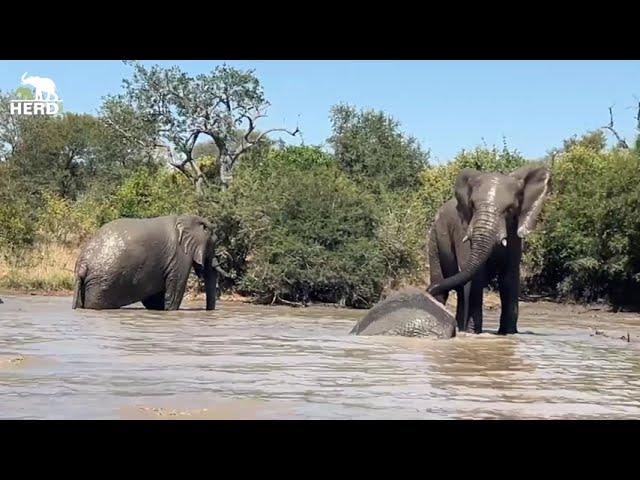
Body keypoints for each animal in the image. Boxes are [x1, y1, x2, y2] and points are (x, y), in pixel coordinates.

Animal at [72, 214, 226, 312]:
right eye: (214, 244)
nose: (208, 311)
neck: (187, 218)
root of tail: (83, 264)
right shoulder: (179, 256)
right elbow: (174, 292)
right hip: (102, 283)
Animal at [424, 163, 552, 336]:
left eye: (510, 209)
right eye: (472, 205)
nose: (426, 290)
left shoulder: (514, 235)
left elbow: (509, 278)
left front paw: (508, 334)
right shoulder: (463, 230)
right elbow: (475, 277)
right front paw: (473, 333)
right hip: (434, 236)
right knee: (444, 286)